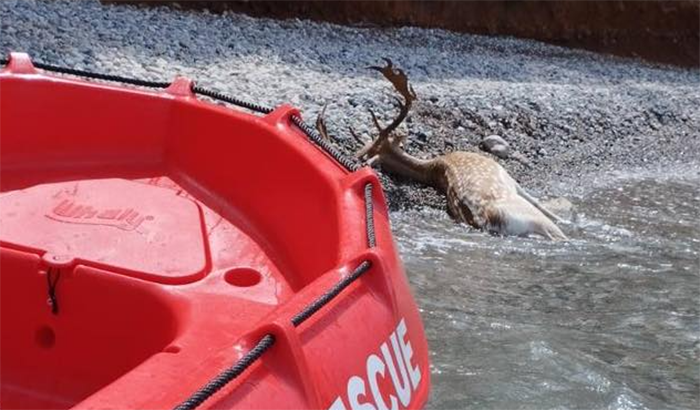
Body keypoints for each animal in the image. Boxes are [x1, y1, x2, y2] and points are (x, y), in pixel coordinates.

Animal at [320, 60, 568, 240]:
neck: (434, 166)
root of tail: (490, 220)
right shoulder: (506, 175)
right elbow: (539, 202)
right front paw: (566, 218)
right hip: (532, 217)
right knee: (556, 231)